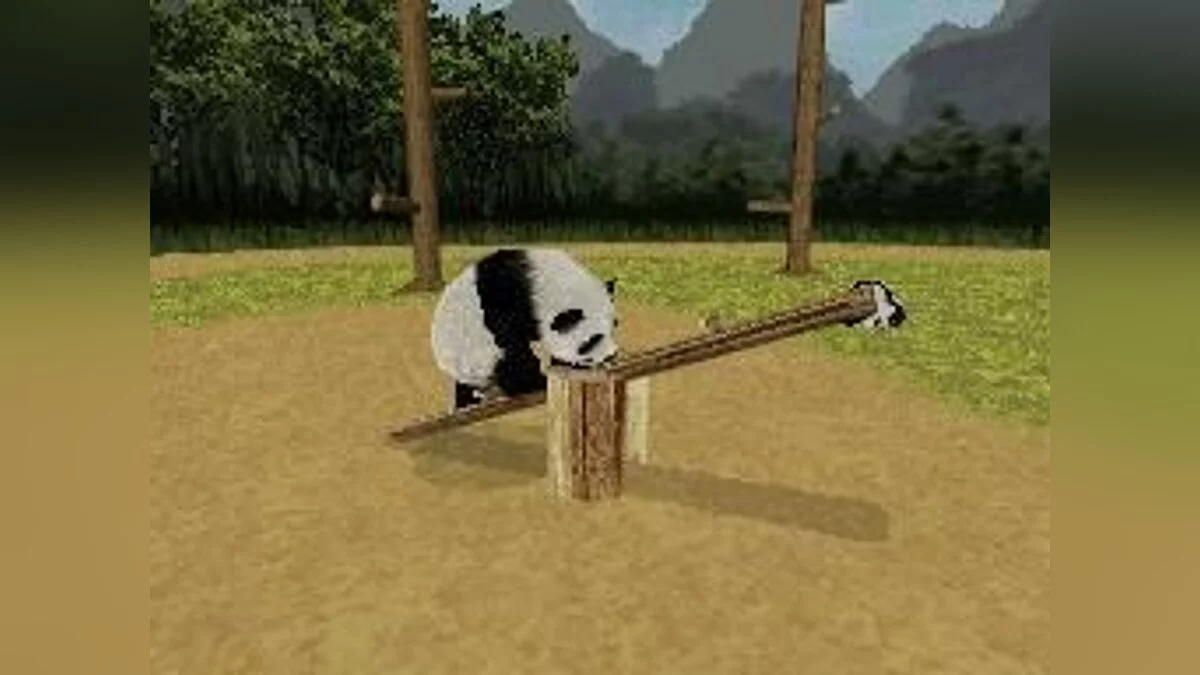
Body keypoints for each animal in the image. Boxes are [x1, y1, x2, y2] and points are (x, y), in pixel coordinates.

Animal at [430, 248, 619, 411]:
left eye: (614, 326)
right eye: (592, 340)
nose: (611, 355)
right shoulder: (501, 306)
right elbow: (514, 349)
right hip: (475, 355)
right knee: (505, 363)